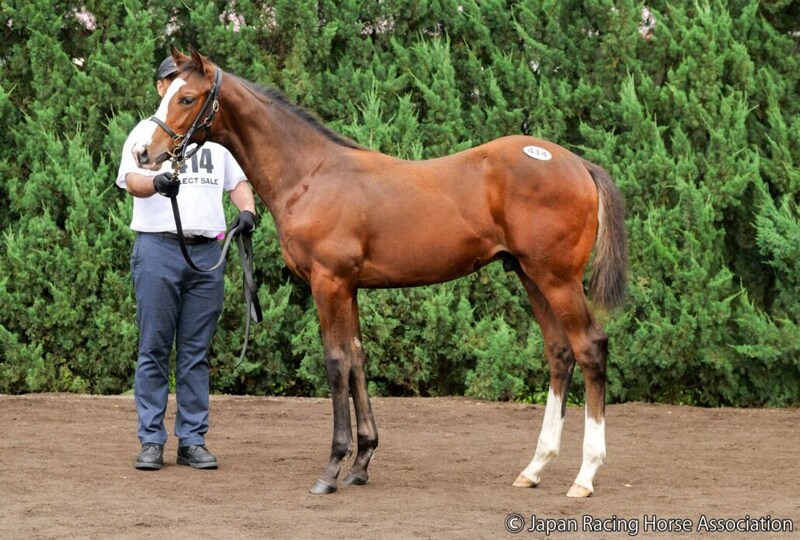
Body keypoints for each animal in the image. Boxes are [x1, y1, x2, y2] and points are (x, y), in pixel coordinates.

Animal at [131, 47, 628, 498]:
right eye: (167, 92)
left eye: (187, 97)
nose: (143, 152)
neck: (310, 174)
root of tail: (577, 164)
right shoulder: (349, 287)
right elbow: (356, 361)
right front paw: (361, 463)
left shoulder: (328, 283)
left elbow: (335, 363)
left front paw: (331, 469)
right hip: (530, 275)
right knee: (559, 353)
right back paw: (535, 468)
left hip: (557, 279)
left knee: (590, 347)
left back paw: (585, 476)